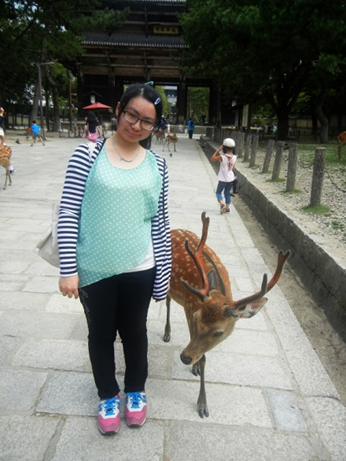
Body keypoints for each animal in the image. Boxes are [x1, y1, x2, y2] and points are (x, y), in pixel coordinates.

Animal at [164, 212, 290, 416]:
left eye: (218, 332)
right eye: (197, 319)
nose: (184, 357)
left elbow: (201, 353)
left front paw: (195, 367)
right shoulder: (189, 308)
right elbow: (202, 354)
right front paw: (203, 405)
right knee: (166, 300)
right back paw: (167, 333)